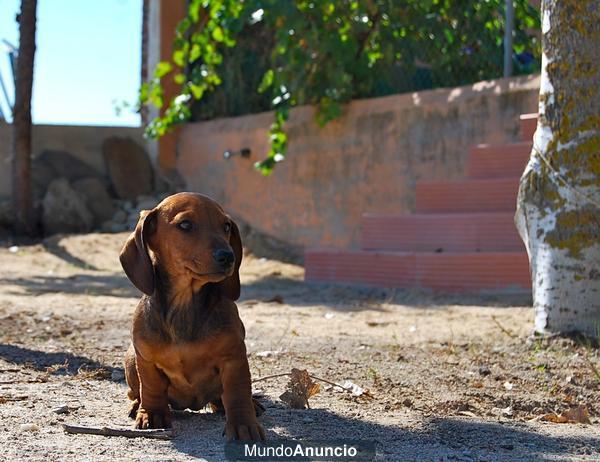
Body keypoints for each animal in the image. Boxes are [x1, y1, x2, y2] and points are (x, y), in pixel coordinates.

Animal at [119, 190, 264, 440]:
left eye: (226, 226)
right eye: (185, 225)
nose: (228, 256)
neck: (184, 304)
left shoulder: (234, 357)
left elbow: (237, 392)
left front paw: (243, 424)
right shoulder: (145, 358)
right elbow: (151, 386)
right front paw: (152, 413)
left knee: (223, 398)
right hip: (130, 358)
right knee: (136, 392)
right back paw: (138, 406)